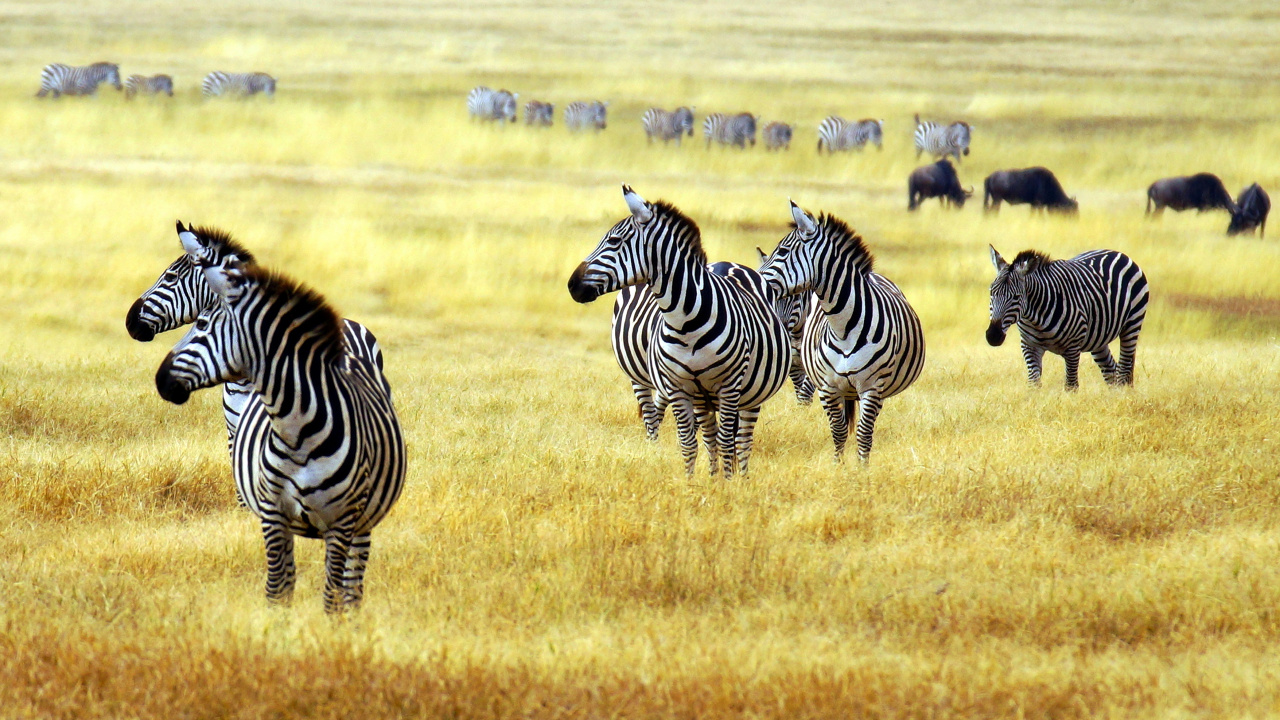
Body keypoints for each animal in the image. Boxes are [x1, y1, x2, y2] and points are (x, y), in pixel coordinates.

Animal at [155, 239, 406, 614]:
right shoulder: (270, 508)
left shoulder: (341, 522)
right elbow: (278, 588)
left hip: (363, 521)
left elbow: (330, 596)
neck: (297, 431)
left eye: (200, 324)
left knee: (352, 586)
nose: (160, 380)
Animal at [569, 186, 789, 477]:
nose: (572, 284)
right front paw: (692, 482)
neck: (685, 323)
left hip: (749, 393)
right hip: (673, 388)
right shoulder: (679, 386)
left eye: (614, 241)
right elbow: (689, 442)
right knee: (698, 432)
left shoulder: (729, 386)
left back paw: (740, 478)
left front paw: (727, 485)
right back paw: (712, 476)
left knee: (741, 441)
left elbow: (726, 441)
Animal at [759, 202, 926, 462]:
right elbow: (837, 432)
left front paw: (861, 469)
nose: (755, 276)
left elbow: (864, 435)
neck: (843, 328)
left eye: (784, 251)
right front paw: (838, 466)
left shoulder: (871, 387)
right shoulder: (828, 386)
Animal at [987, 247, 1149, 390]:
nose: (993, 336)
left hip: (1132, 324)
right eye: (991, 292)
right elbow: (1034, 384)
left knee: (1124, 369)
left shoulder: (1073, 348)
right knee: (1111, 370)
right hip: (1098, 338)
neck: (1035, 319)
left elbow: (1071, 386)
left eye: (1016, 297)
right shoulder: (1029, 346)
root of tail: (1116, 253)